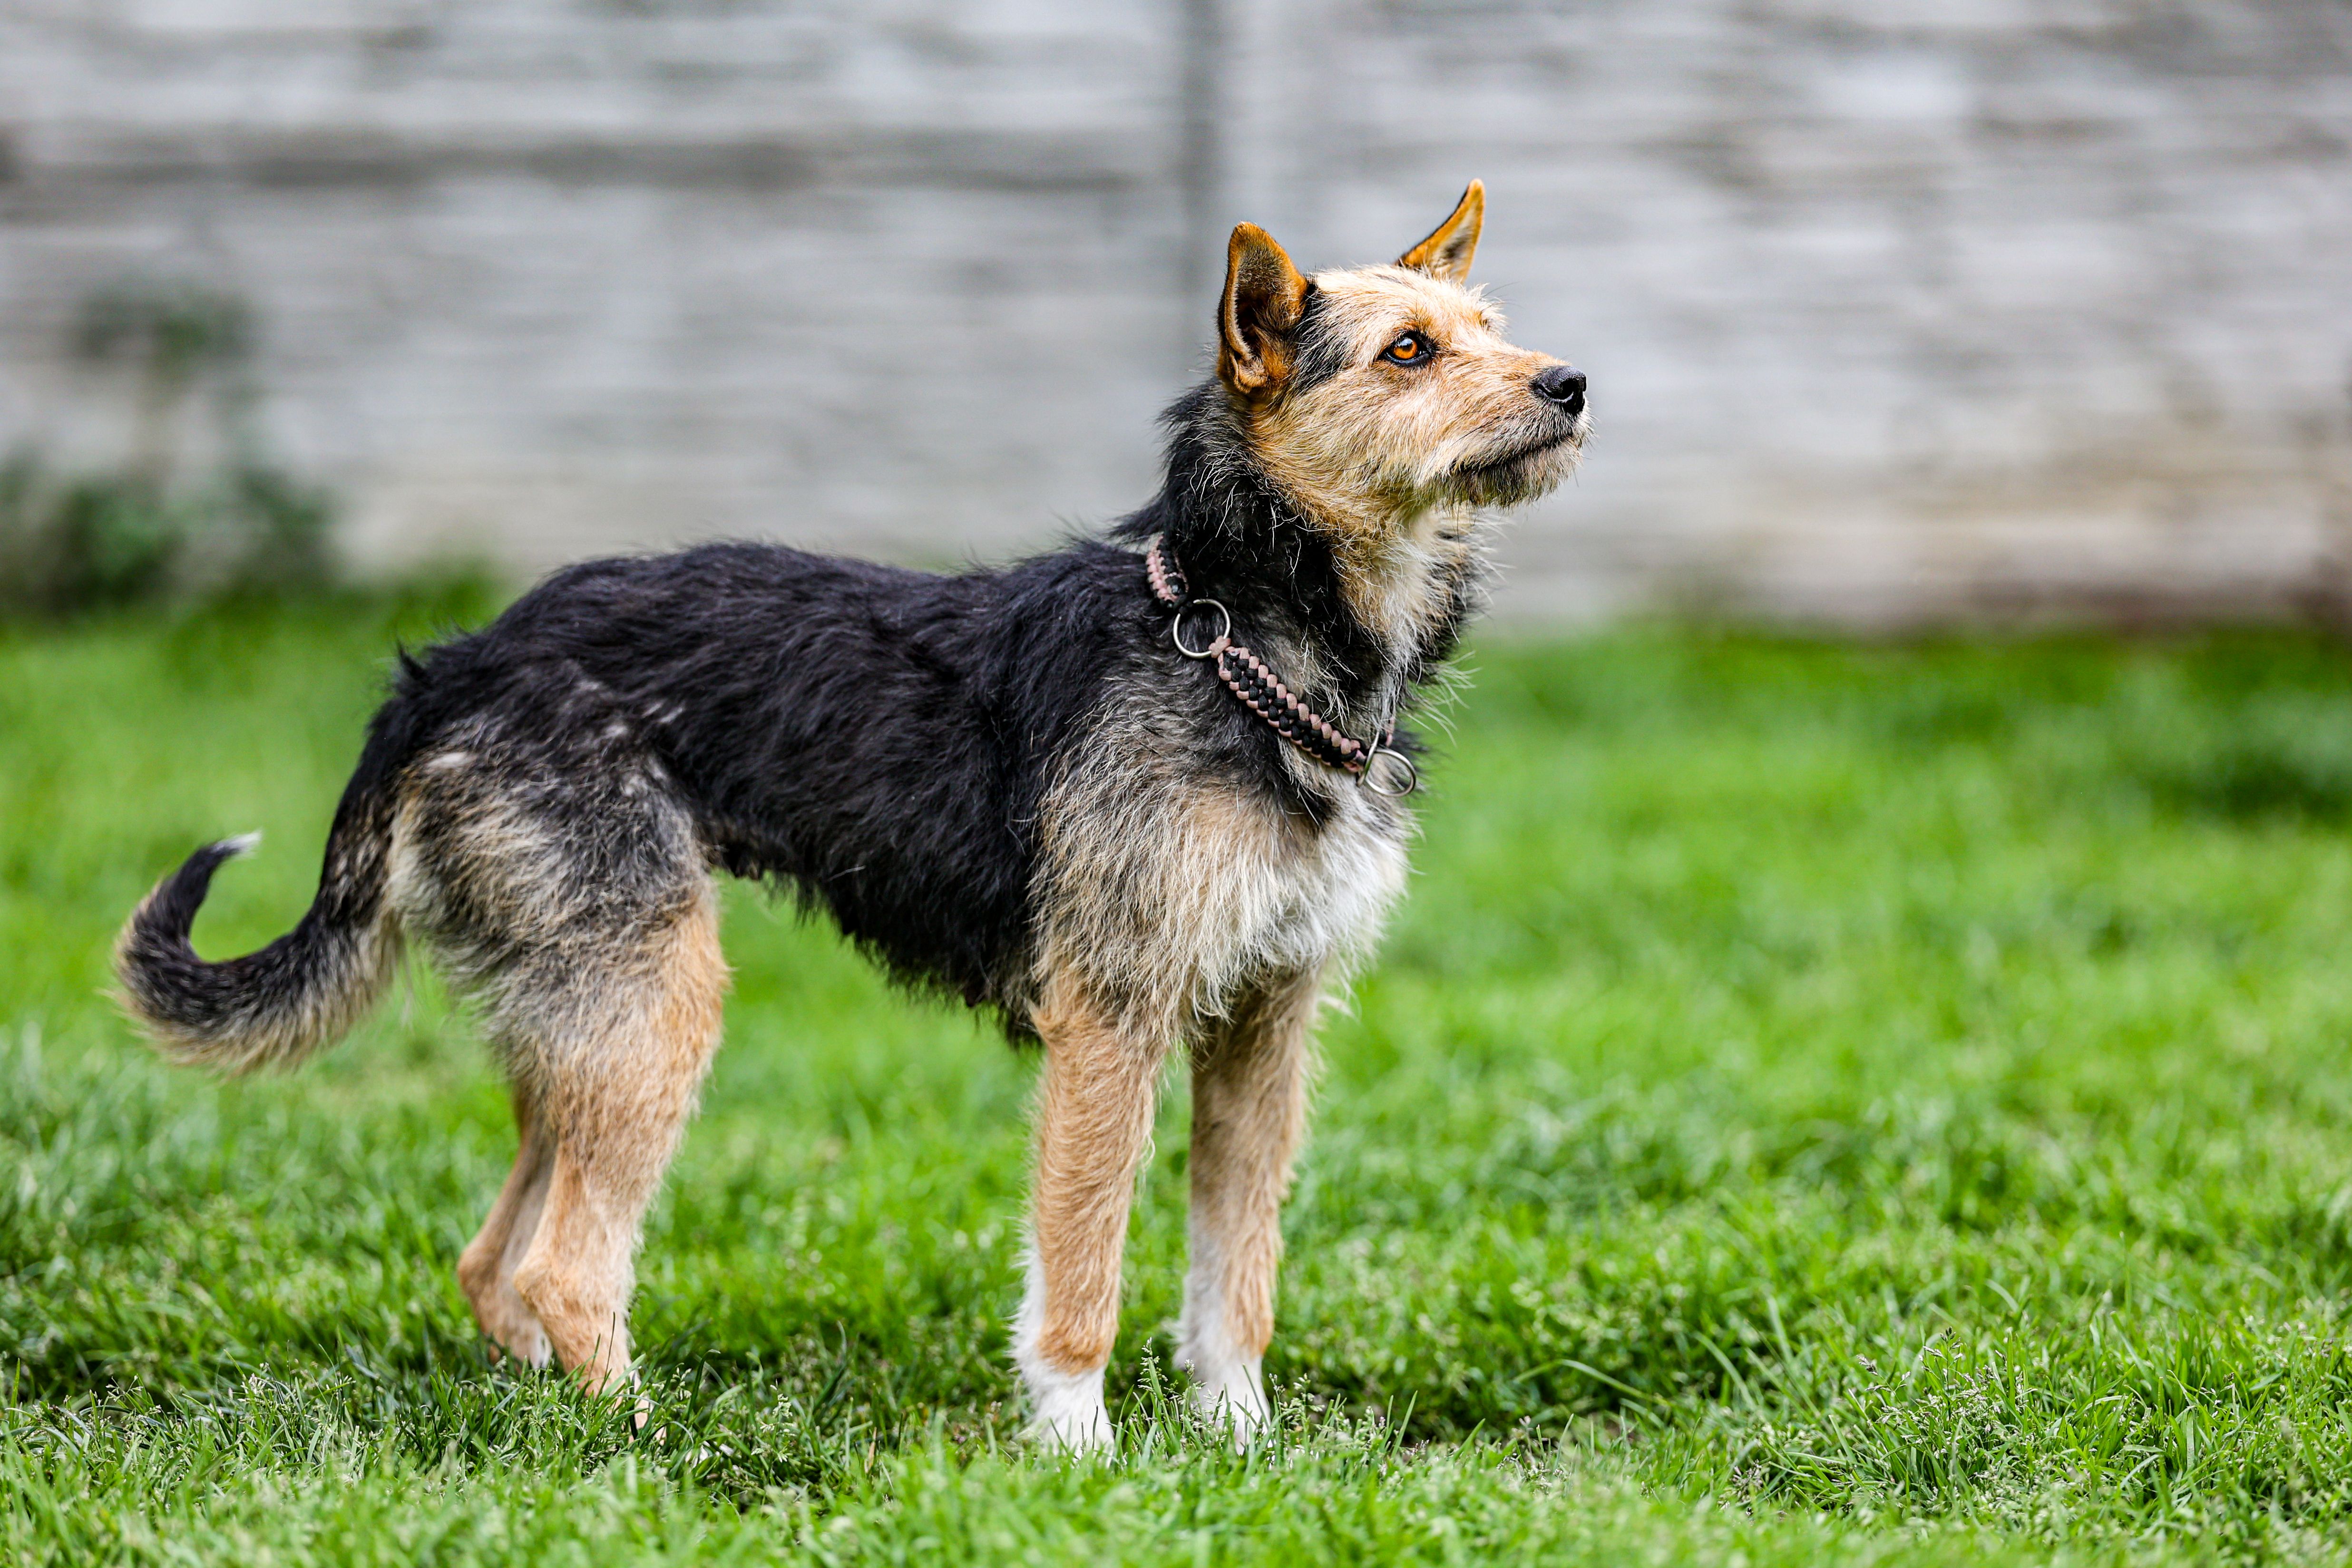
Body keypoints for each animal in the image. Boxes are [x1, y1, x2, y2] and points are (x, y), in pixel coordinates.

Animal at [116, 182, 1588, 1450]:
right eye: (1408, 351)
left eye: (1490, 330)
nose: (1572, 385)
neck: (1239, 635)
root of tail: (455, 667)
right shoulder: (1112, 1021)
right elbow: (1084, 1264)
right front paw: (1079, 1452)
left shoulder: (1264, 1022)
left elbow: (1237, 1271)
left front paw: (1241, 1442)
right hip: (658, 1003)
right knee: (563, 1268)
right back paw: (647, 1441)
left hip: (582, 1016)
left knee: (495, 1260)